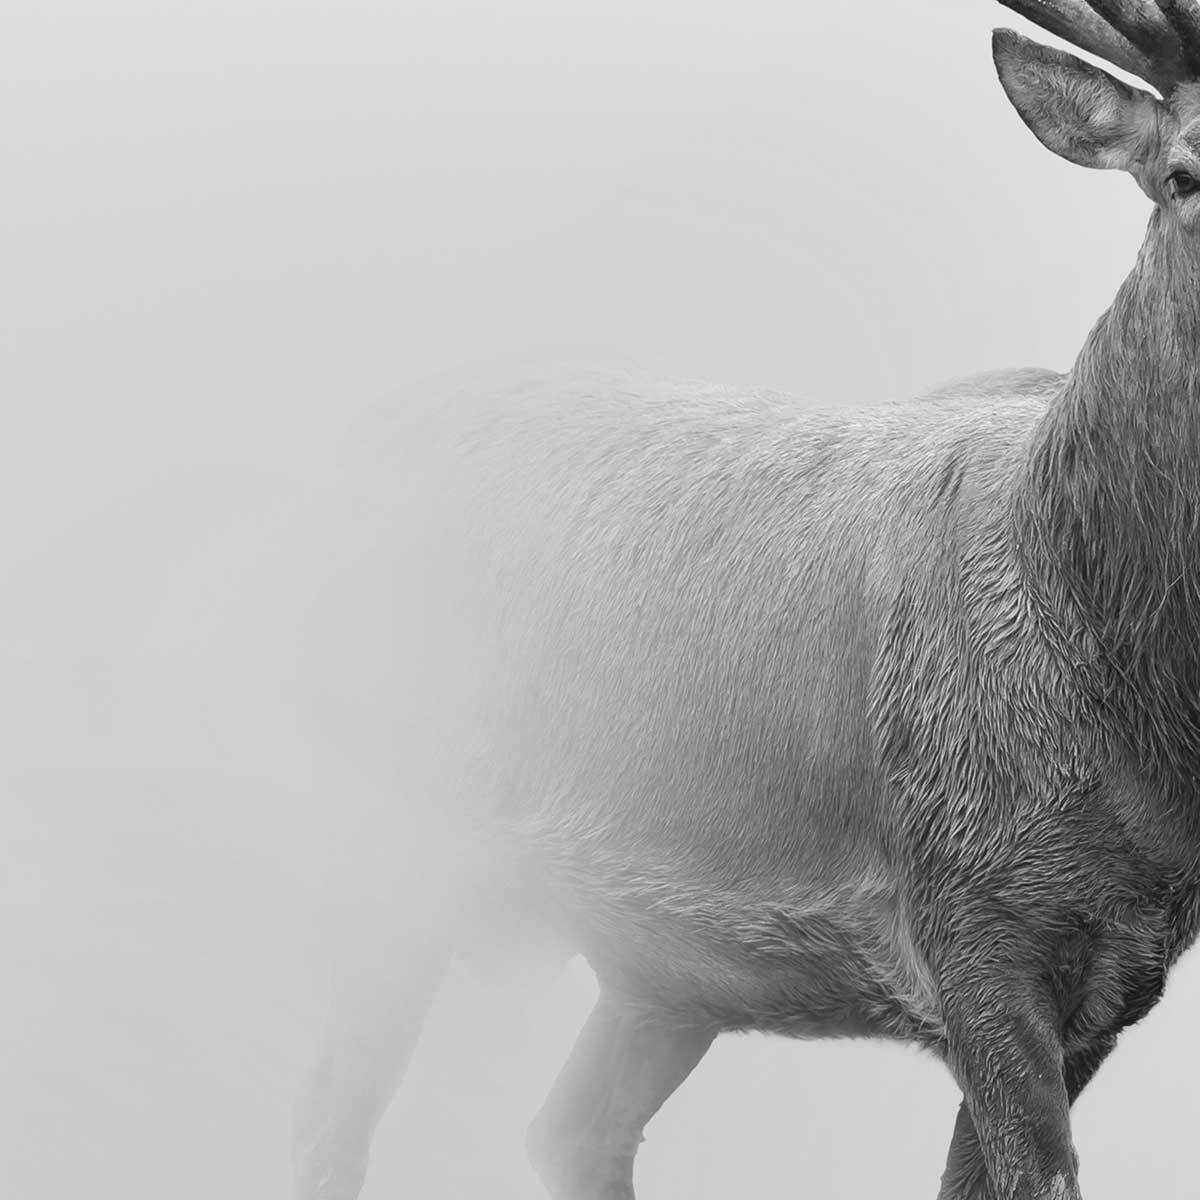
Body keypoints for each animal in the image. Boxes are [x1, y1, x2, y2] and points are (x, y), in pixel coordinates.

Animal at [288, 2, 1200, 1198]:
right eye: (1184, 173)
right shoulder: (973, 921)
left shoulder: (1119, 979)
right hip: (379, 828)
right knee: (326, 1115)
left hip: (666, 968)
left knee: (570, 1125)